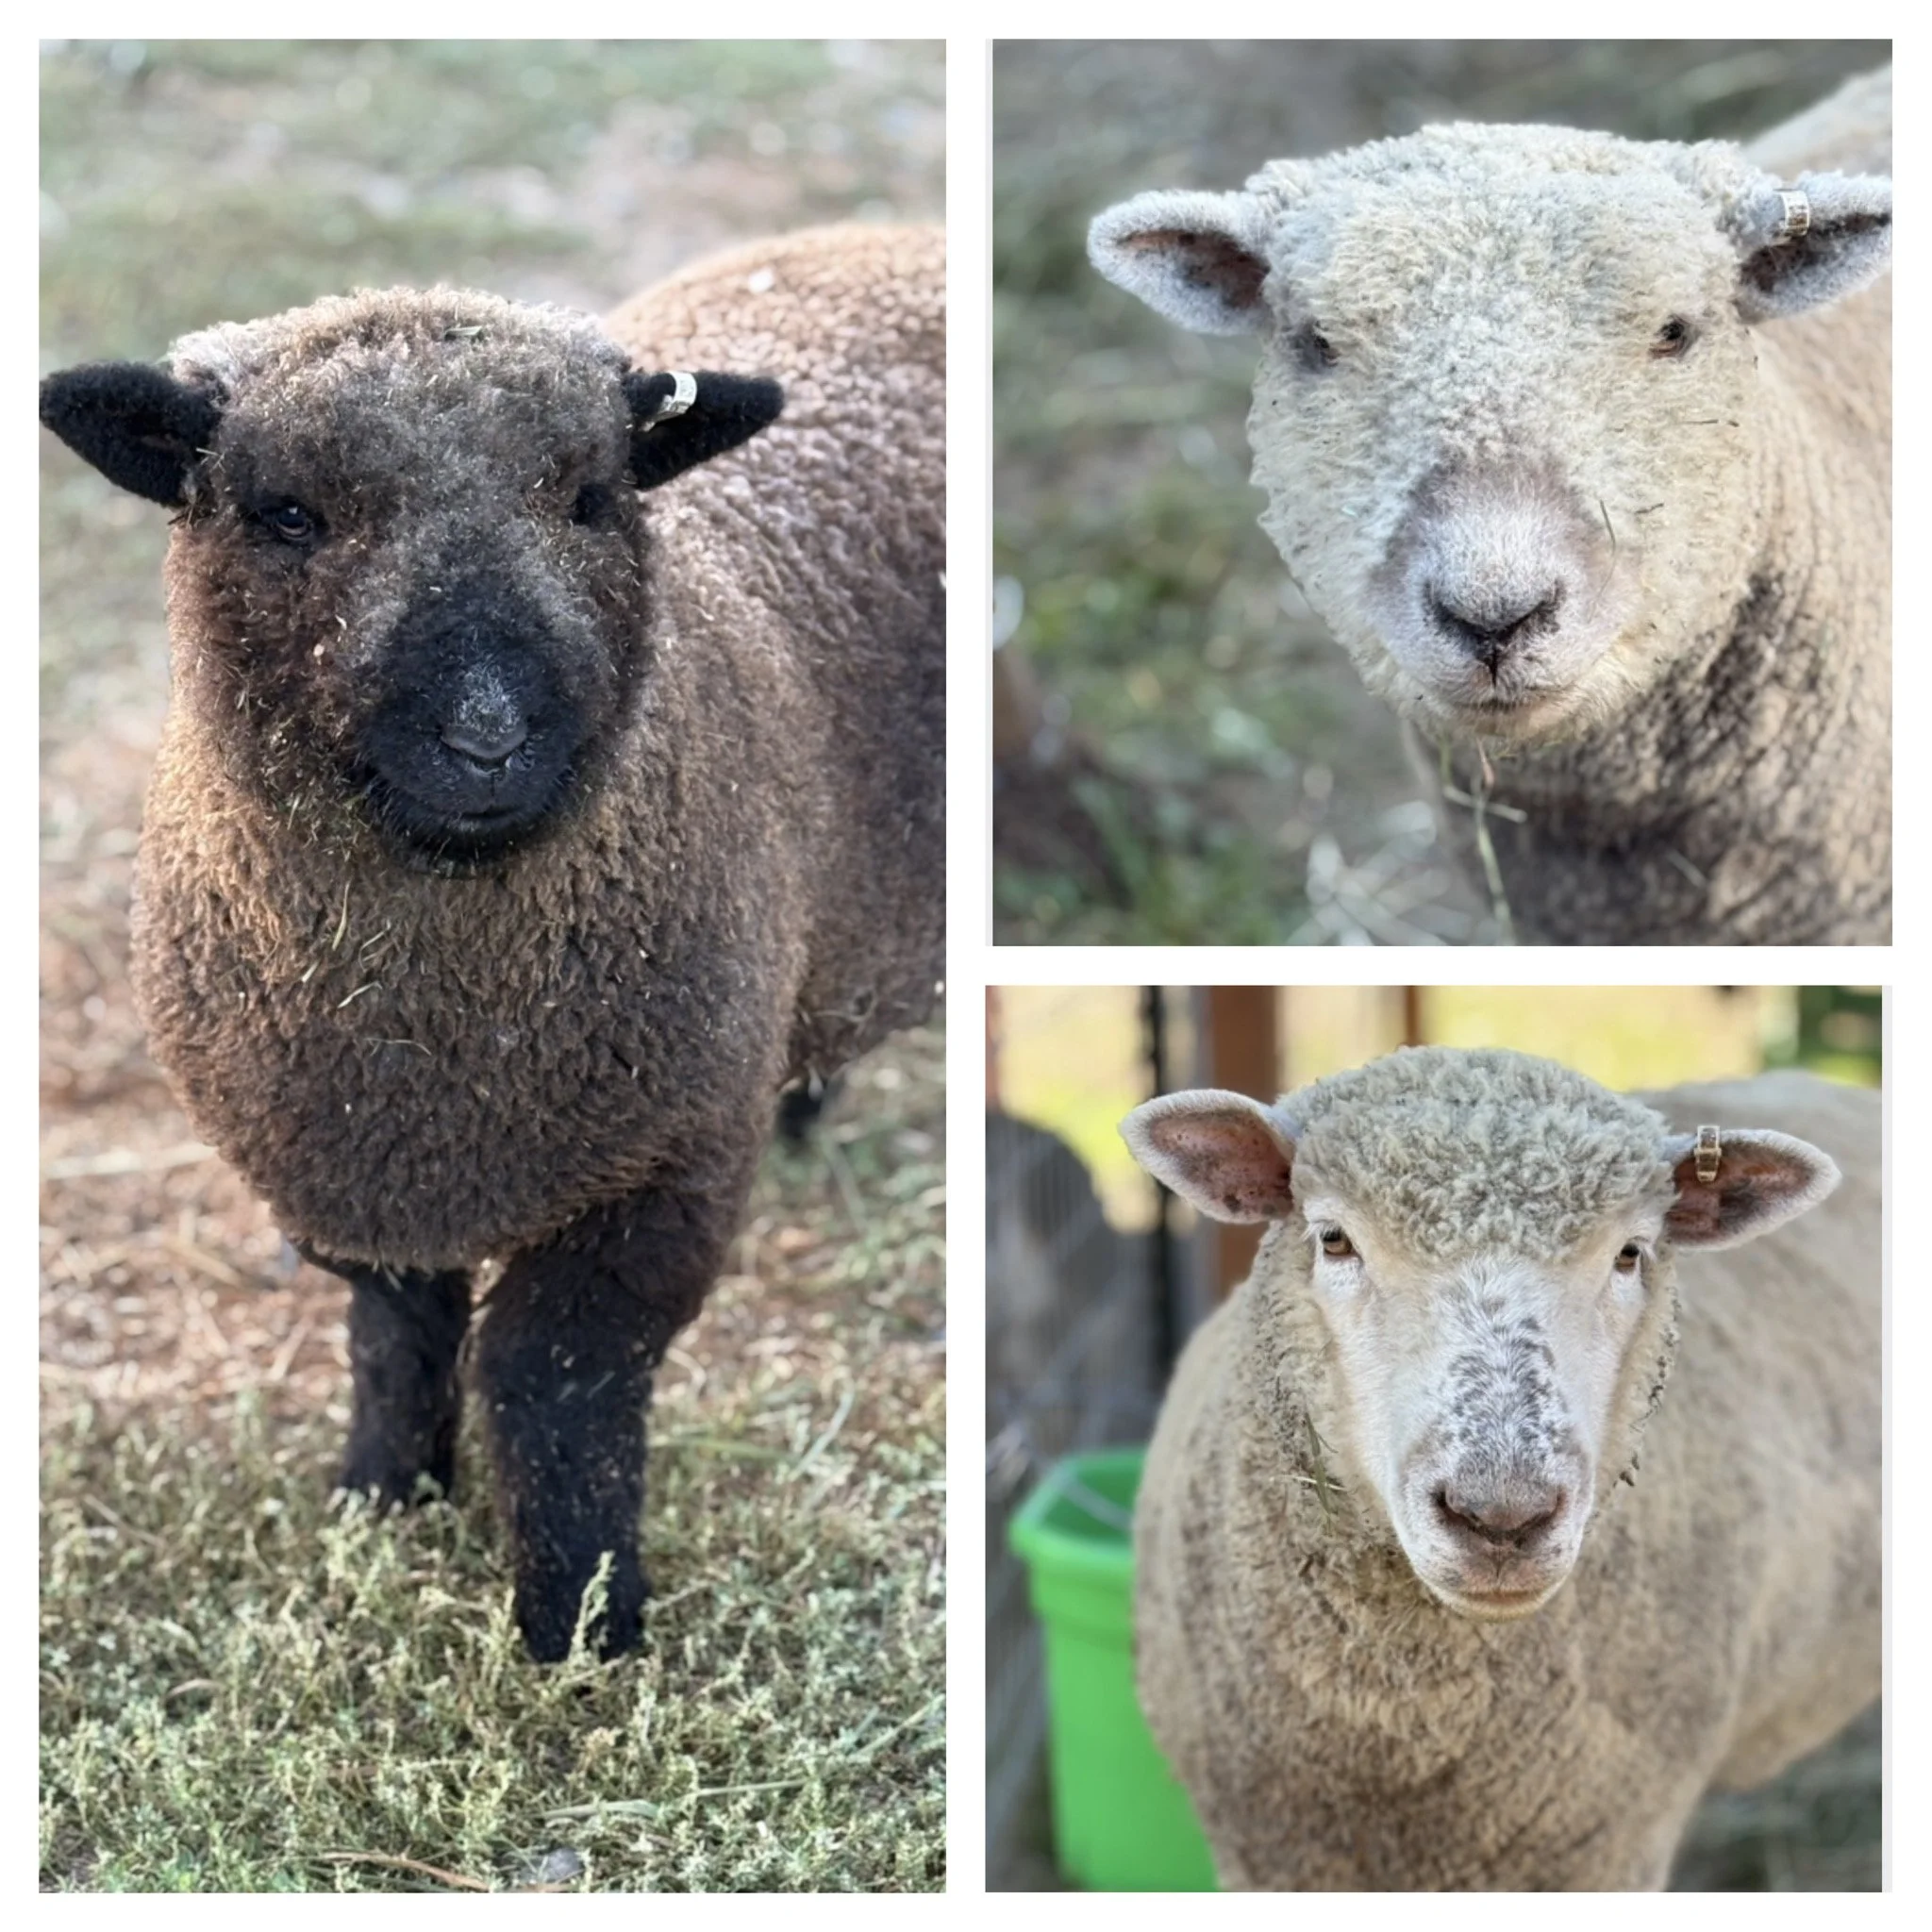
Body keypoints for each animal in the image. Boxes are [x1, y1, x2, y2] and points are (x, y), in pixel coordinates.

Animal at [37, 223, 945, 1661]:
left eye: (590, 497)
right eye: (283, 512)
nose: (487, 733)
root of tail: (898, 235)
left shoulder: (664, 1167)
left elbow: (550, 1382)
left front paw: (582, 1625)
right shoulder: (350, 1168)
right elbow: (395, 1339)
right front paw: (380, 1507)